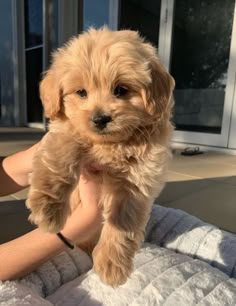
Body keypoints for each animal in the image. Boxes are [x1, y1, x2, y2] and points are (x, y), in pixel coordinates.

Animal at [25, 27, 174, 288]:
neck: (109, 145)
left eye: (121, 90)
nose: (100, 119)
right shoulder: (64, 132)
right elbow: (59, 159)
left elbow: (124, 219)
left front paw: (112, 265)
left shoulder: (140, 176)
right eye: (81, 92)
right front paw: (48, 211)